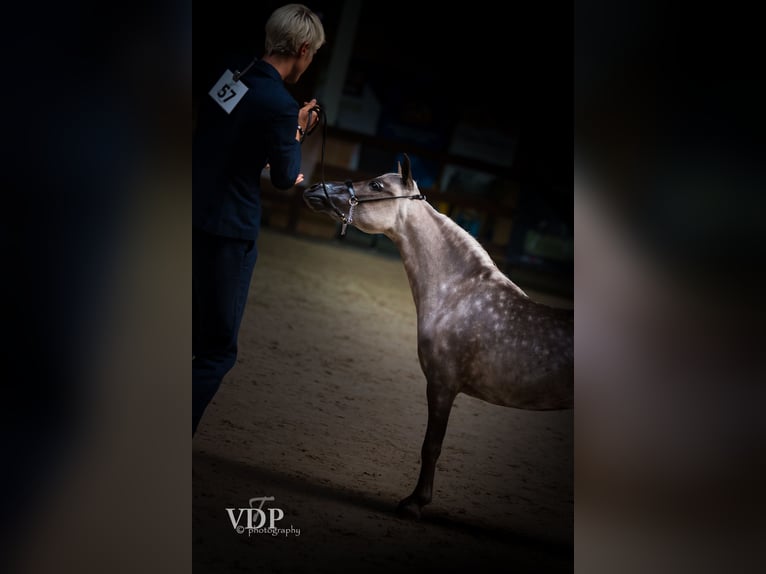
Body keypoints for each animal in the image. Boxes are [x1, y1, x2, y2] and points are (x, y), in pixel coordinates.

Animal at [304, 154, 572, 520]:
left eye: (376, 185)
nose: (315, 189)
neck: (458, 293)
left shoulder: (442, 384)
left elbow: (431, 445)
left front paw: (415, 502)